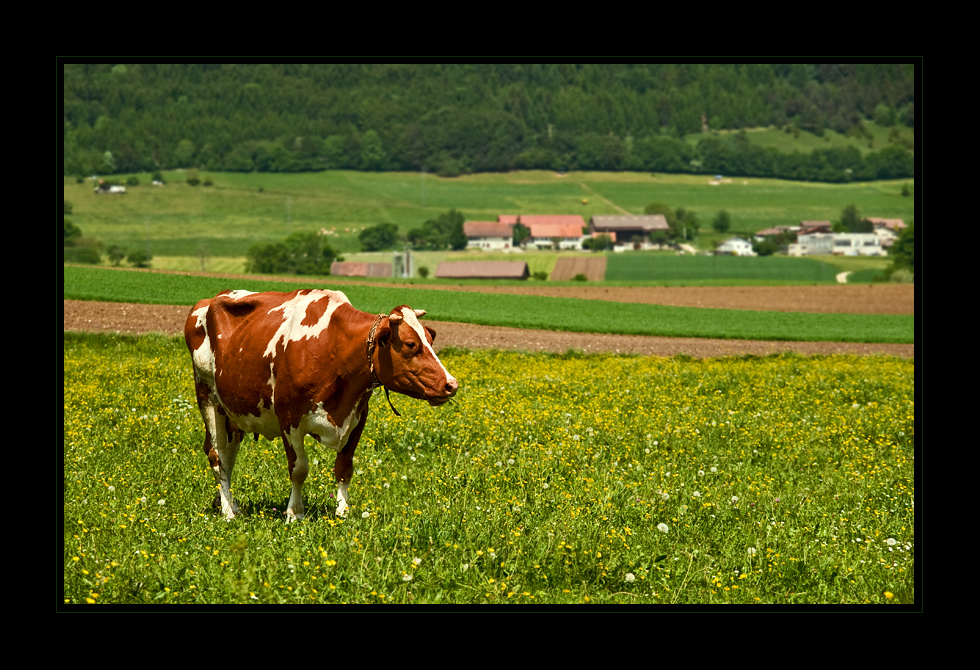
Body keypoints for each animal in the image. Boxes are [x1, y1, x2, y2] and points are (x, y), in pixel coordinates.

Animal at [184, 288, 460, 520]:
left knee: (228, 456)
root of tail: (209, 300)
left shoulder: (358, 416)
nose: (451, 384)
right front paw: (295, 514)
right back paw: (229, 511)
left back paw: (229, 503)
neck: (336, 347)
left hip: (233, 413)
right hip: (208, 398)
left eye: (430, 340)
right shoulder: (289, 418)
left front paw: (343, 512)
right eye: (411, 344)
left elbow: (344, 468)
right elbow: (299, 469)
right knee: (217, 455)